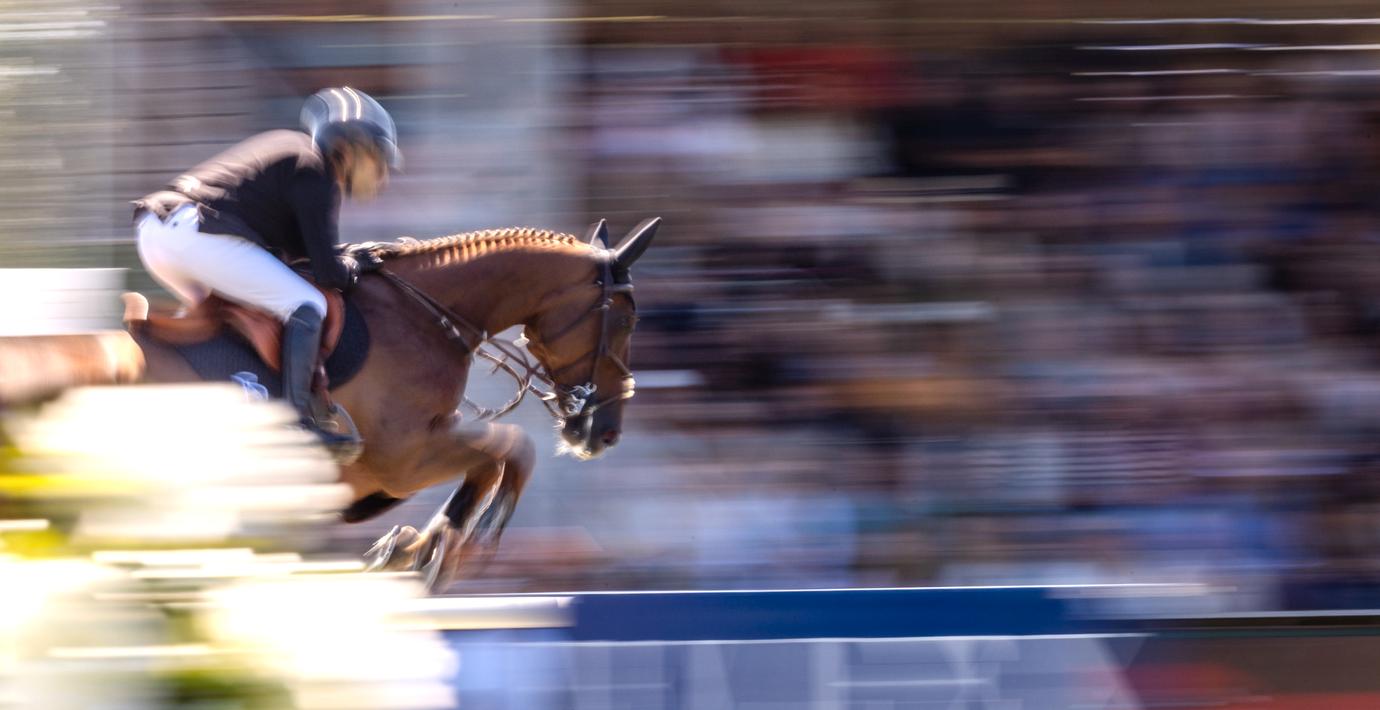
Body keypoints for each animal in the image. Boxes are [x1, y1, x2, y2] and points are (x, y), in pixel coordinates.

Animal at [0, 216, 659, 591]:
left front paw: (412, 550)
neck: (427, 314)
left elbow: (491, 460)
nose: (605, 431)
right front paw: (445, 551)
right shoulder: (404, 457)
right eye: (627, 318)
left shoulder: (394, 467)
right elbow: (511, 450)